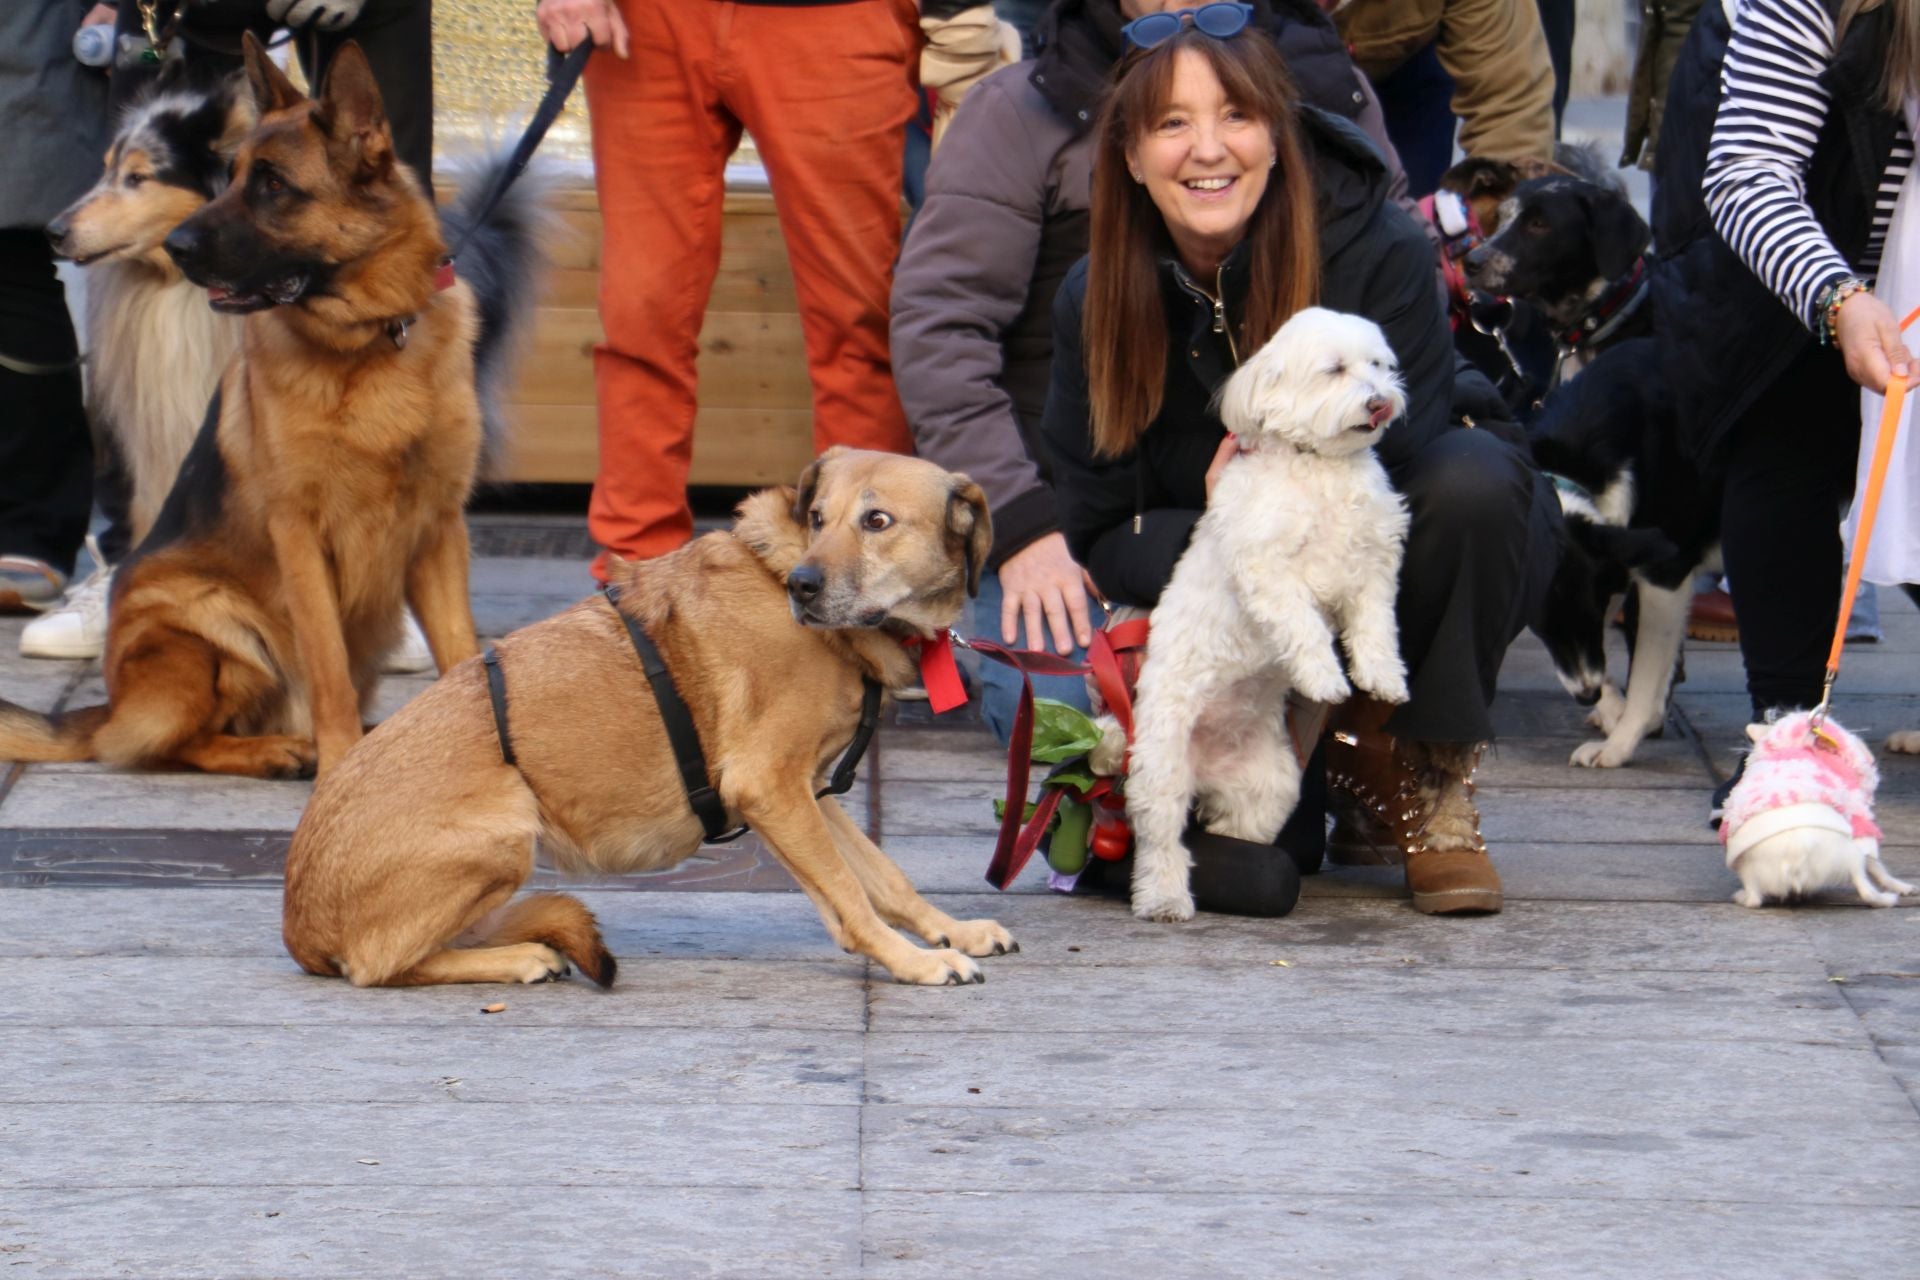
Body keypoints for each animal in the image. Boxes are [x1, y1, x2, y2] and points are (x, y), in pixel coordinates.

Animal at [282, 450, 1021, 990]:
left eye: (877, 521)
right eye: (817, 517)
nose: (803, 587)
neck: (776, 568)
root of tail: (299, 925)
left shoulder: (803, 791)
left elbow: (880, 877)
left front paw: (949, 929)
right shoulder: (769, 786)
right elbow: (849, 892)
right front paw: (916, 962)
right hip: (507, 824)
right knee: (380, 966)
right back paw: (517, 958)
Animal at [1121, 308, 1413, 921]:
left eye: (1379, 365)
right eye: (1335, 369)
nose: (1380, 402)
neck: (1321, 467)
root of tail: (1204, 770)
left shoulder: (1374, 566)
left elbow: (1376, 628)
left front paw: (1384, 677)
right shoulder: (1268, 570)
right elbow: (1303, 626)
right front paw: (1325, 677)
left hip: (1270, 785)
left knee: (1236, 828)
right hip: (1161, 765)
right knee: (1162, 842)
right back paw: (1163, 897)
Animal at [1720, 710, 1912, 909]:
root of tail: (1795, 851)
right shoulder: (1860, 821)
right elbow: (1877, 866)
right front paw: (1900, 886)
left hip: (1748, 868)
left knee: (1754, 899)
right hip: (1851, 854)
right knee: (1866, 888)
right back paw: (1886, 899)